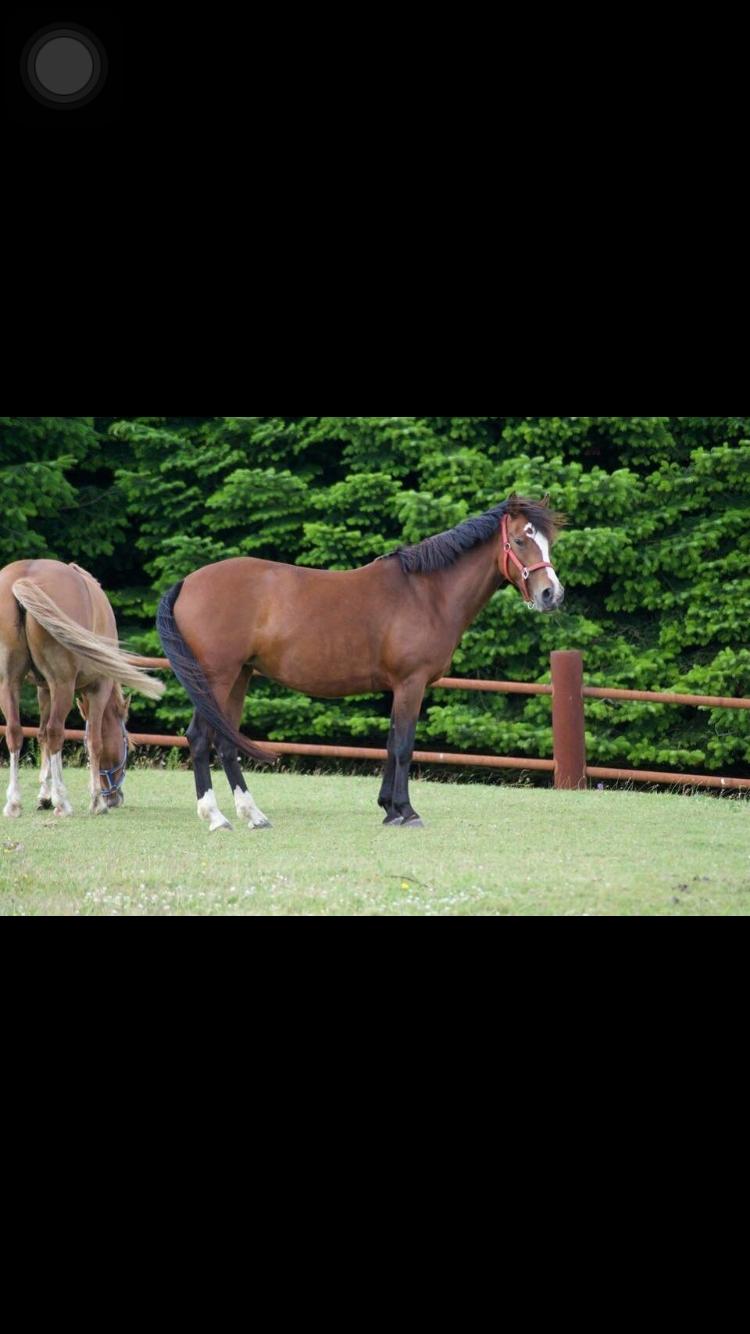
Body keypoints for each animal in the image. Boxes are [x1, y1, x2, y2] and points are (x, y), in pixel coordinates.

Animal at [0, 560, 164, 816]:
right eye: (127, 744)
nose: (115, 799)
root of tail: (24, 577)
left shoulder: (44, 689)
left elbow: (41, 735)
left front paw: (44, 795)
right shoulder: (98, 688)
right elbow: (94, 741)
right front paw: (96, 801)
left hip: (9, 682)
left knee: (16, 732)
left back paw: (14, 803)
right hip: (63, 685)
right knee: (56, 732)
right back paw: (63, 803)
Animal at [158, 496, 565, 827]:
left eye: (548, 542)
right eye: (520, 540)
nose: (552, 594)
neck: (427, 594)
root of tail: (187, 582)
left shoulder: (398, 687)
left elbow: (390, 742)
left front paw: (389, 809)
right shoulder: (411, 683)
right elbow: (403, 746)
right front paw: (407, 812)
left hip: (240, 677)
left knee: (226, 742)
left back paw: (254, 815)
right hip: (217, 677)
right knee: (200, 738)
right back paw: (215, 817)